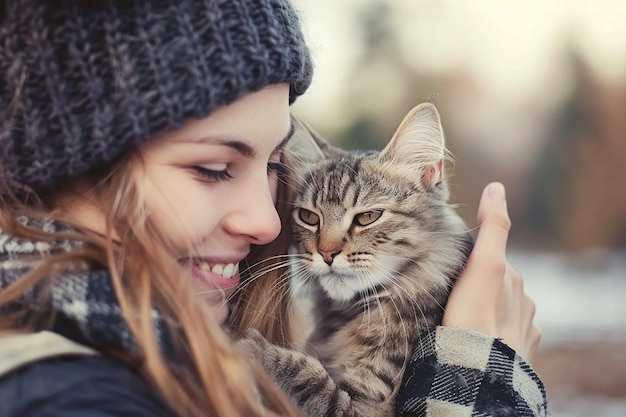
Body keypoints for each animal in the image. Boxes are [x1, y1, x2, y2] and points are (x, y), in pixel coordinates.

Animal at [236, 103, 470, 416]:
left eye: (367, 217)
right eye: (308, 217)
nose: (326, 254)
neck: (349, 314)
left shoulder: (372, 406)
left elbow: (313, 380)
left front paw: (254, 351)